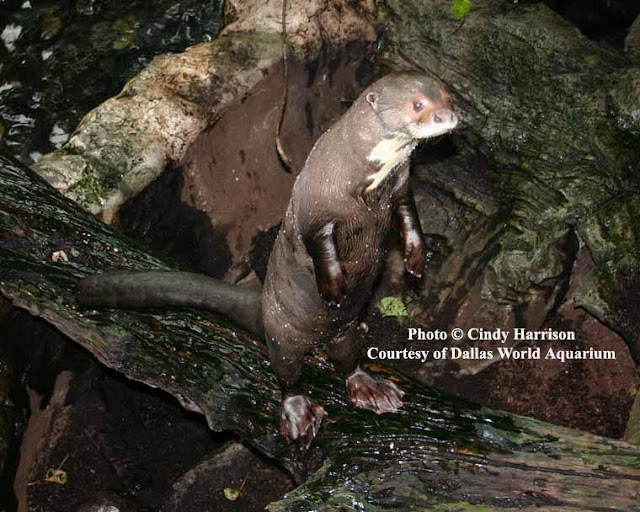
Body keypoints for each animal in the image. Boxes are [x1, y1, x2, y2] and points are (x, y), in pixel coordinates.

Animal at [78, 72, 459, 447]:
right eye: (417, 104)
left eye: (447, 95)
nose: (448, 116)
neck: (362, 179)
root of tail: (262, 308)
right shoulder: (316, 208)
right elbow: (320, 245)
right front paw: (334, 284)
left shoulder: (400, 187)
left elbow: (409, 217)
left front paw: (416, 258)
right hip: (282, 335)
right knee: (287, 374)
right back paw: (298, 414)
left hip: (347, 331)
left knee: (347, 361)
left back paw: (370, 388)